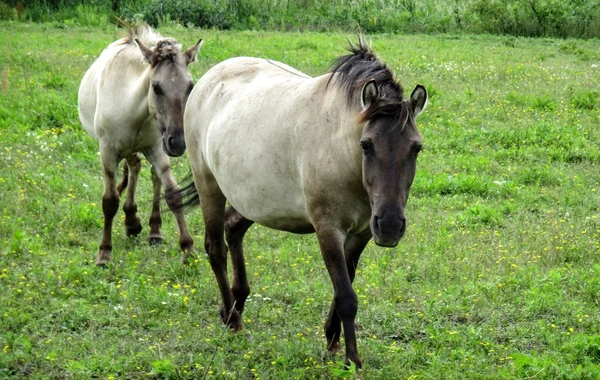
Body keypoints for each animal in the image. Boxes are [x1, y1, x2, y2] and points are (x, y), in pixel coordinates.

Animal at [77, 25, 202, 266]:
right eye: (156, 87)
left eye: (190, 86)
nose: (178, 142)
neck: (132, 107)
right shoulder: (108, 151)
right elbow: (110, 201)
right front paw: (104, 254)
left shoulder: (157, 148)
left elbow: (173, 194)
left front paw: (188, 249)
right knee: (134, 167)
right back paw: (132, 220)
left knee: (149, 174)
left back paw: (152, 229)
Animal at [182, 39, 426, 368]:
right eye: (366, 145)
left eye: (416, 148)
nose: (389, 226)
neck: (341, 150)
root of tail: (208, 78)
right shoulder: (328, 230)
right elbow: (346, 296)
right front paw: (352, 359)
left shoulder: (361, 233)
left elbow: (344, 287)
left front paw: (333, 341)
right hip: (208, 185)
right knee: (215, 249)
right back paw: (234, 322)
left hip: (253, 198)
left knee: (233, 229)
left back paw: (234, 304)